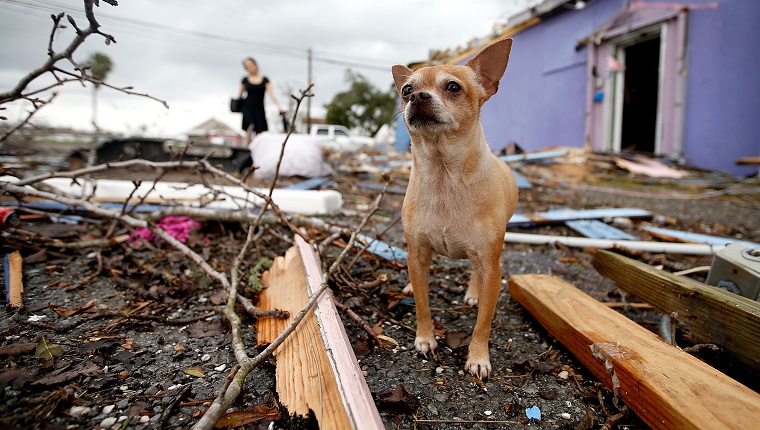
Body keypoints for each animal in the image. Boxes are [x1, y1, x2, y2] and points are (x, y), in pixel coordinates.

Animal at [388, 37, 520, 380]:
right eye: (406, 89)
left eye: (453, 87)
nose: (417, 97)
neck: (443, 175)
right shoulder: (418, 253)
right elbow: (423, 304)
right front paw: (425, 338)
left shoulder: (491, 265)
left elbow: (484, 322)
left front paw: (478, 357)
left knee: (476, 272)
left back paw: (474, 292)